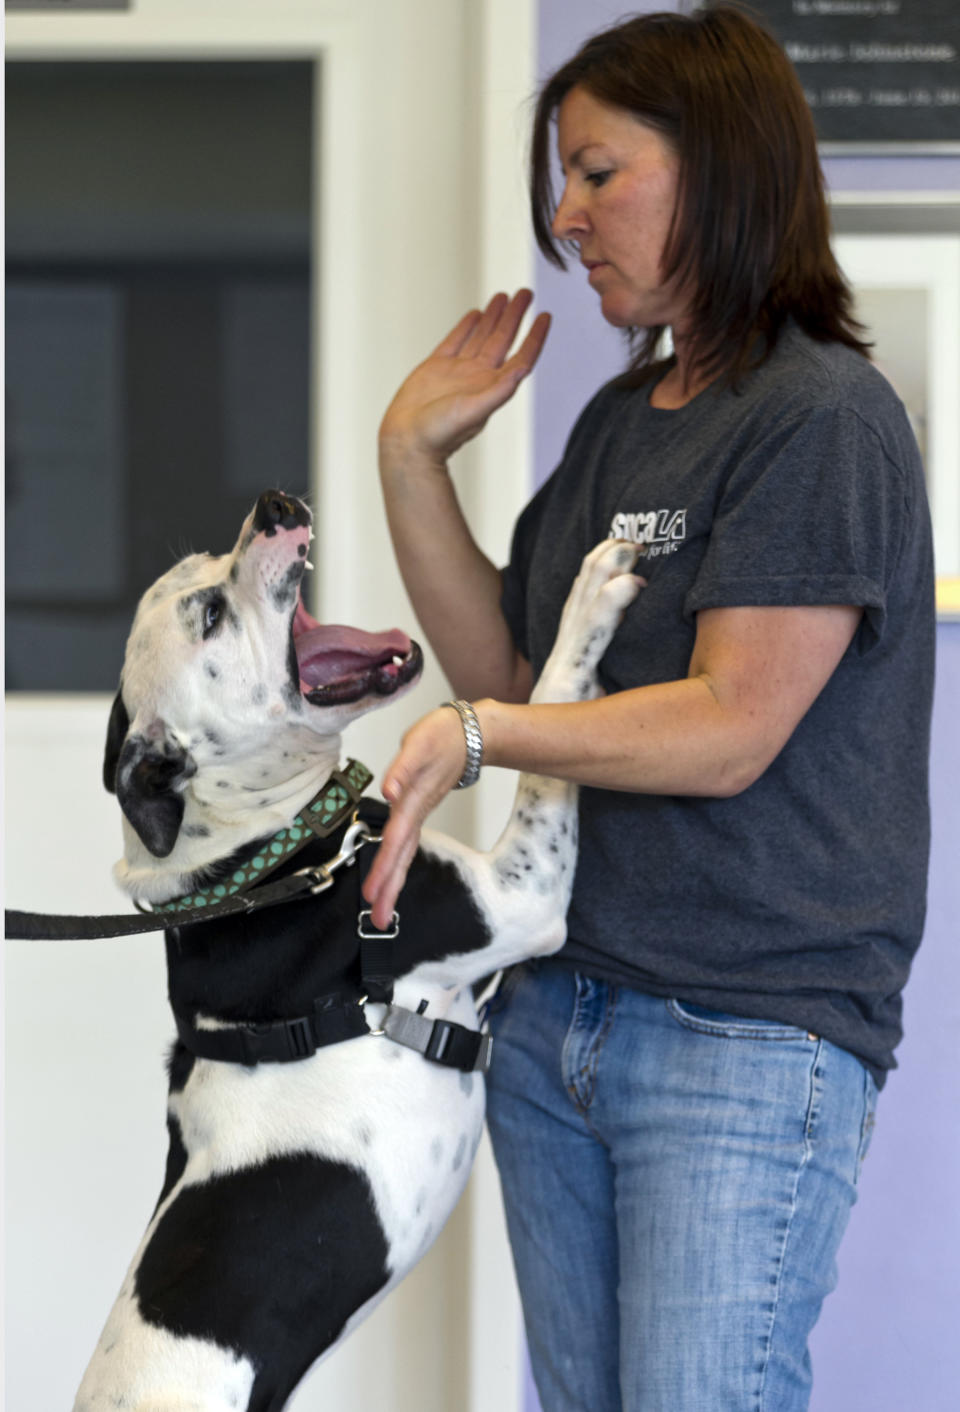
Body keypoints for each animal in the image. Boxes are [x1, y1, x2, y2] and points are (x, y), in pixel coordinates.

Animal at [74, 488, 640, 1412]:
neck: (264, 856)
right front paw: (593, 595)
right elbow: (552, 706)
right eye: (211, 615)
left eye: (203, 568)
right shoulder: (519, 896)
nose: (272, 504)